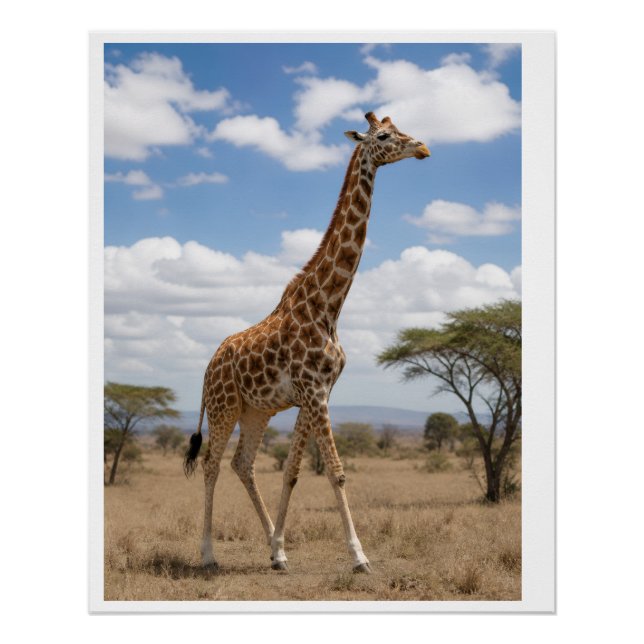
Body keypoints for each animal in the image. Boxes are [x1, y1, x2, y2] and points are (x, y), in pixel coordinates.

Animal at [184, 112, 430, 573]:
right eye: (384, 135)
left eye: (402, 128)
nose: (422, 147)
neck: (328, 306)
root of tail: (208, 366)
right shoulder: (314, 392)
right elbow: (335, 471)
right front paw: (360, 557)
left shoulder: (317, 392)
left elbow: (292, 471)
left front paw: (279, 549)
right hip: (224, 406)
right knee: (210, 464)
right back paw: (207, 554)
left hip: (256, 410)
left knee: (242, 464)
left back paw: (271, 547)